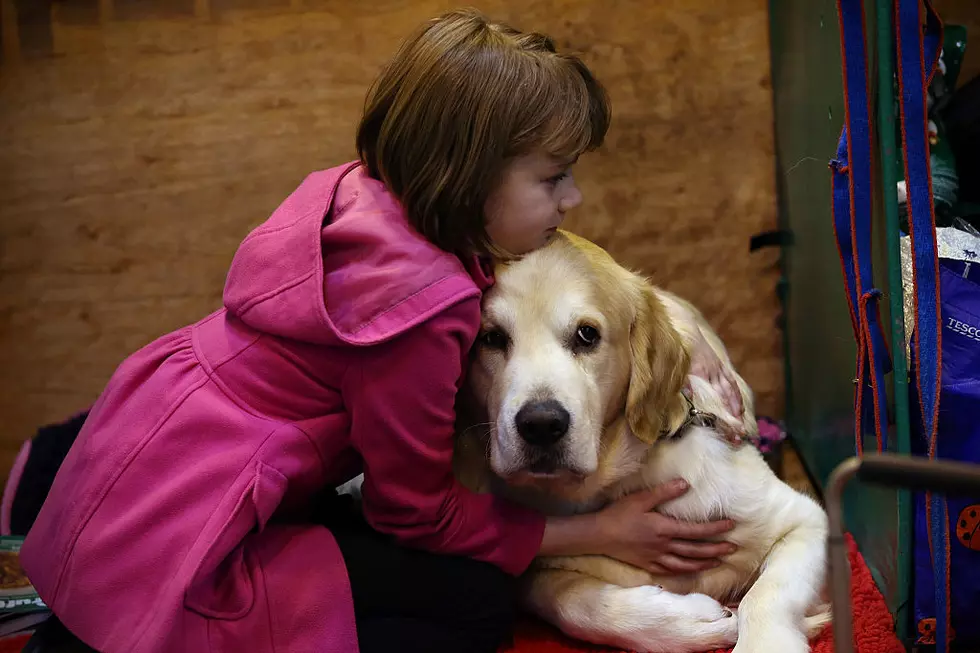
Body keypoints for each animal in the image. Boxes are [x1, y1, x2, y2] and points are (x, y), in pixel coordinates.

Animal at [452, 230, 828, 652]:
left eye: (587, 335)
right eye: (491, 338)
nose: (541, 424)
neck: (617, 480)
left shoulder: (804, 519)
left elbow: (766, 594)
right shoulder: (534, 568)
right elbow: (568, 601)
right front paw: (689, 622)